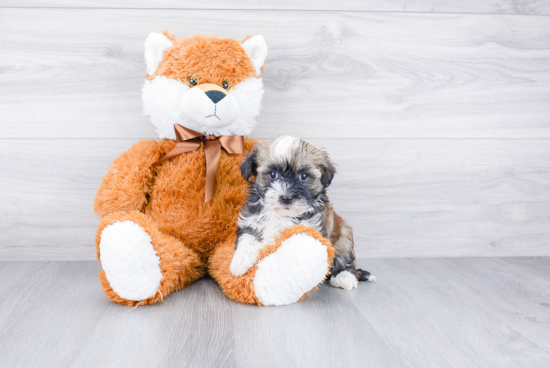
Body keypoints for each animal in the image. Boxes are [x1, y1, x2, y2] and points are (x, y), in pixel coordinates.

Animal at [229, 135, 376, 290]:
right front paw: (240, 261)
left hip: (344, 237)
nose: (286, 198)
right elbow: (248, 236)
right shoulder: (250, 219)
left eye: (303, 176)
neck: (282, 215)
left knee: (346, 262)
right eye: (273, 174)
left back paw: (345, 277)